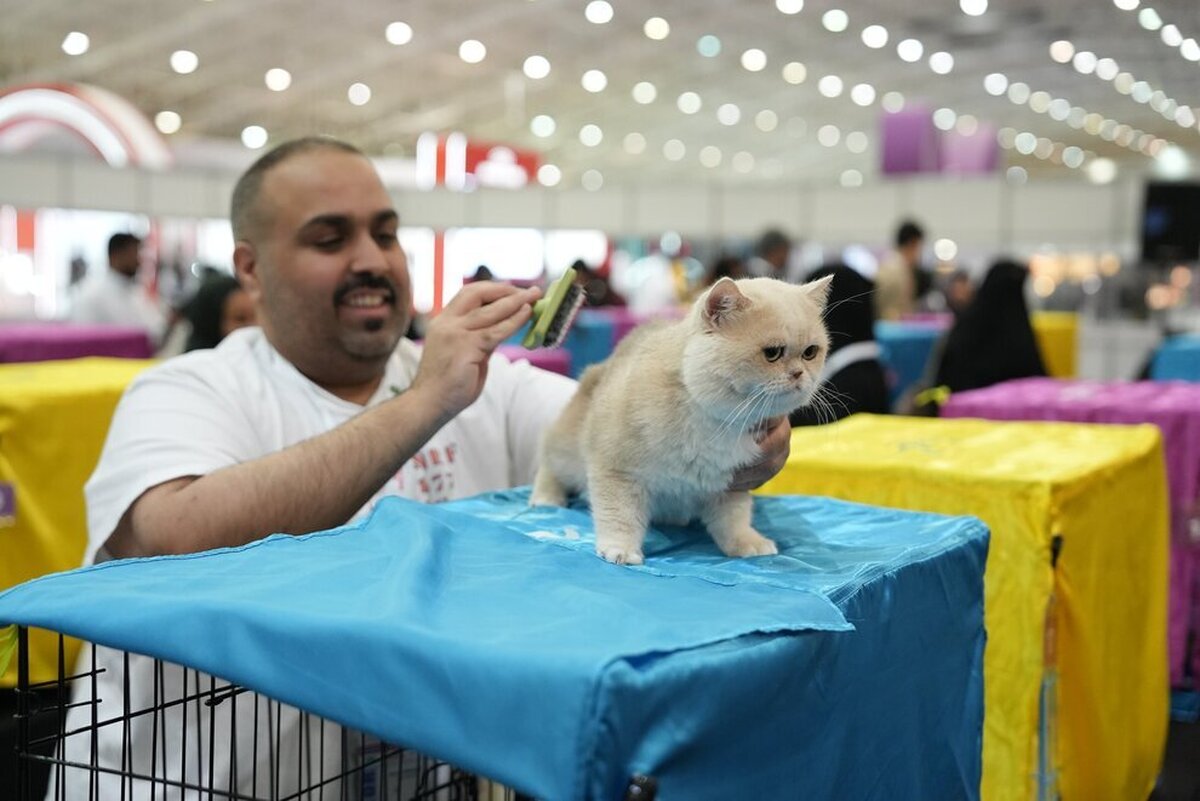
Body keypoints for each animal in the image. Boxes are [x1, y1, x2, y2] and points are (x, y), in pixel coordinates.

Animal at [530, 278, 830, 565]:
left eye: (810, 352)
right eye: (772, 353)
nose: (799, 374)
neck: (715, 420)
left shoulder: (729, 484)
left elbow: (734, 520)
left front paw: (747, 544)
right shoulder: (617, 471)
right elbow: (620, 516)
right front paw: (620, 550)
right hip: (567, 451)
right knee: (549, 466)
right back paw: (545, 500)